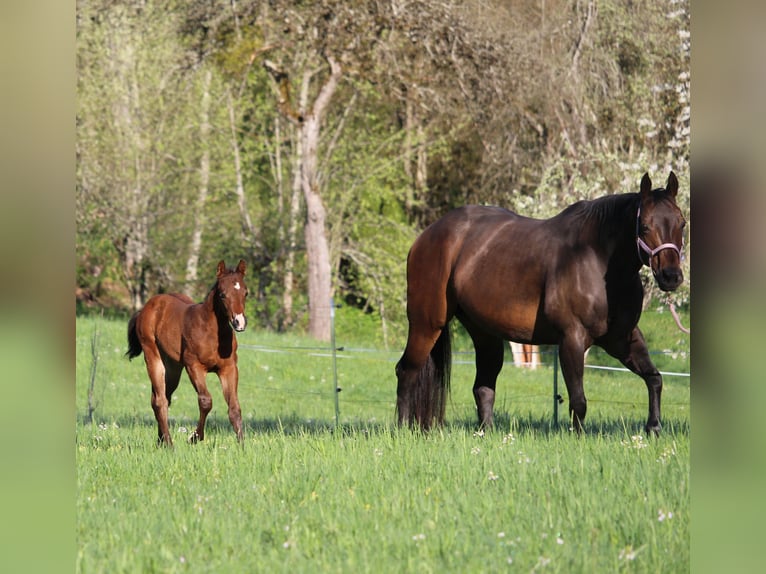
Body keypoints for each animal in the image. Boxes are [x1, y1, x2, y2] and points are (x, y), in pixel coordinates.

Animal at [127, 260, 249, 446]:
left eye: (246, 293)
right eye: (222, 294)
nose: (239, 322)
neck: (211, 333)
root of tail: (146, 307)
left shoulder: (228, 368)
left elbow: (234, 408)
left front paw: (241, 445)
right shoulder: (194, 367)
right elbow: (205, 401)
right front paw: (195, 437)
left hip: (173, 368)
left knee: (162, 398)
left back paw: (161, 441)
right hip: (153, 357)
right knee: (160, 400)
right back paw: (169, 444)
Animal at [395, 172, 686, 435]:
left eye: (682, 223)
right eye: (645, 226)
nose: (671, 276)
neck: (597, 257)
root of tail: (426, 236)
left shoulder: (621, 338)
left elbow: (654, 378)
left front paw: (654, 427)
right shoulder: (572, 338)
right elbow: (578, 400)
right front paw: (578, 439)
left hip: (484, 333)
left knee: (483, 387)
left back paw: (487, 433)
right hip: (427, 324)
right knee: (406, 371)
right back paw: (402, 429)